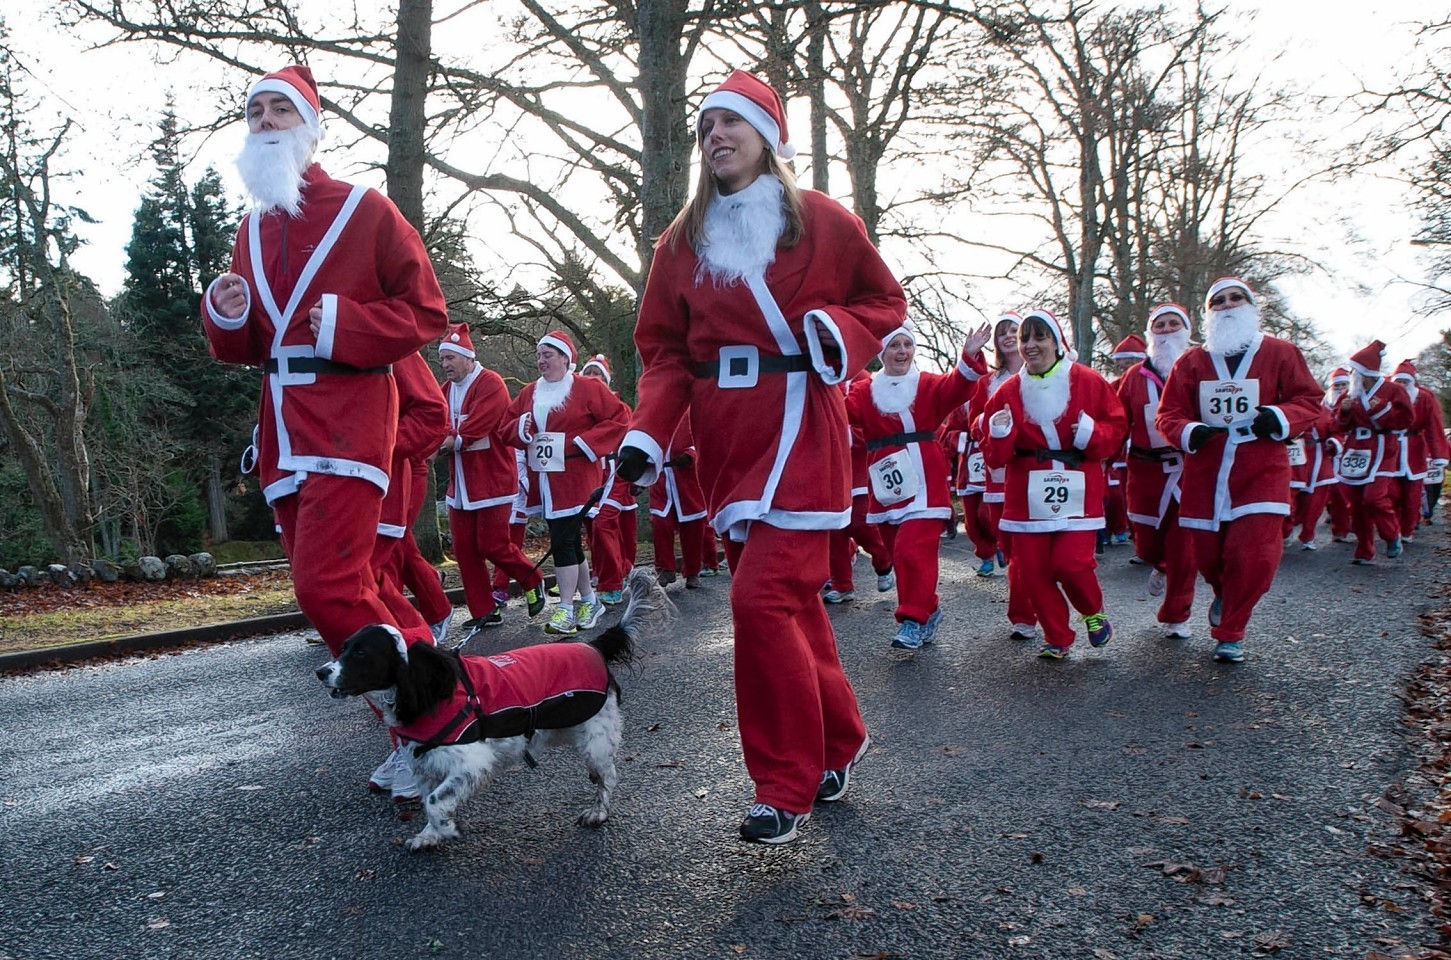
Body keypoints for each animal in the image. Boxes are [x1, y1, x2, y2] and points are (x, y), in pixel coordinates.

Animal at [317, 568, 667, 852]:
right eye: (344, 647)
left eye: (361, 653)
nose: (321, 672)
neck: (430, 690)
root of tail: (593, 646)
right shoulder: (426, 765)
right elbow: (429, 799)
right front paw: (430, 835)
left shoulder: (472, 763)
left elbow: (434, 802)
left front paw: (446, 828)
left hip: (596, 744)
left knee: (607, 778)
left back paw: (599, 812)